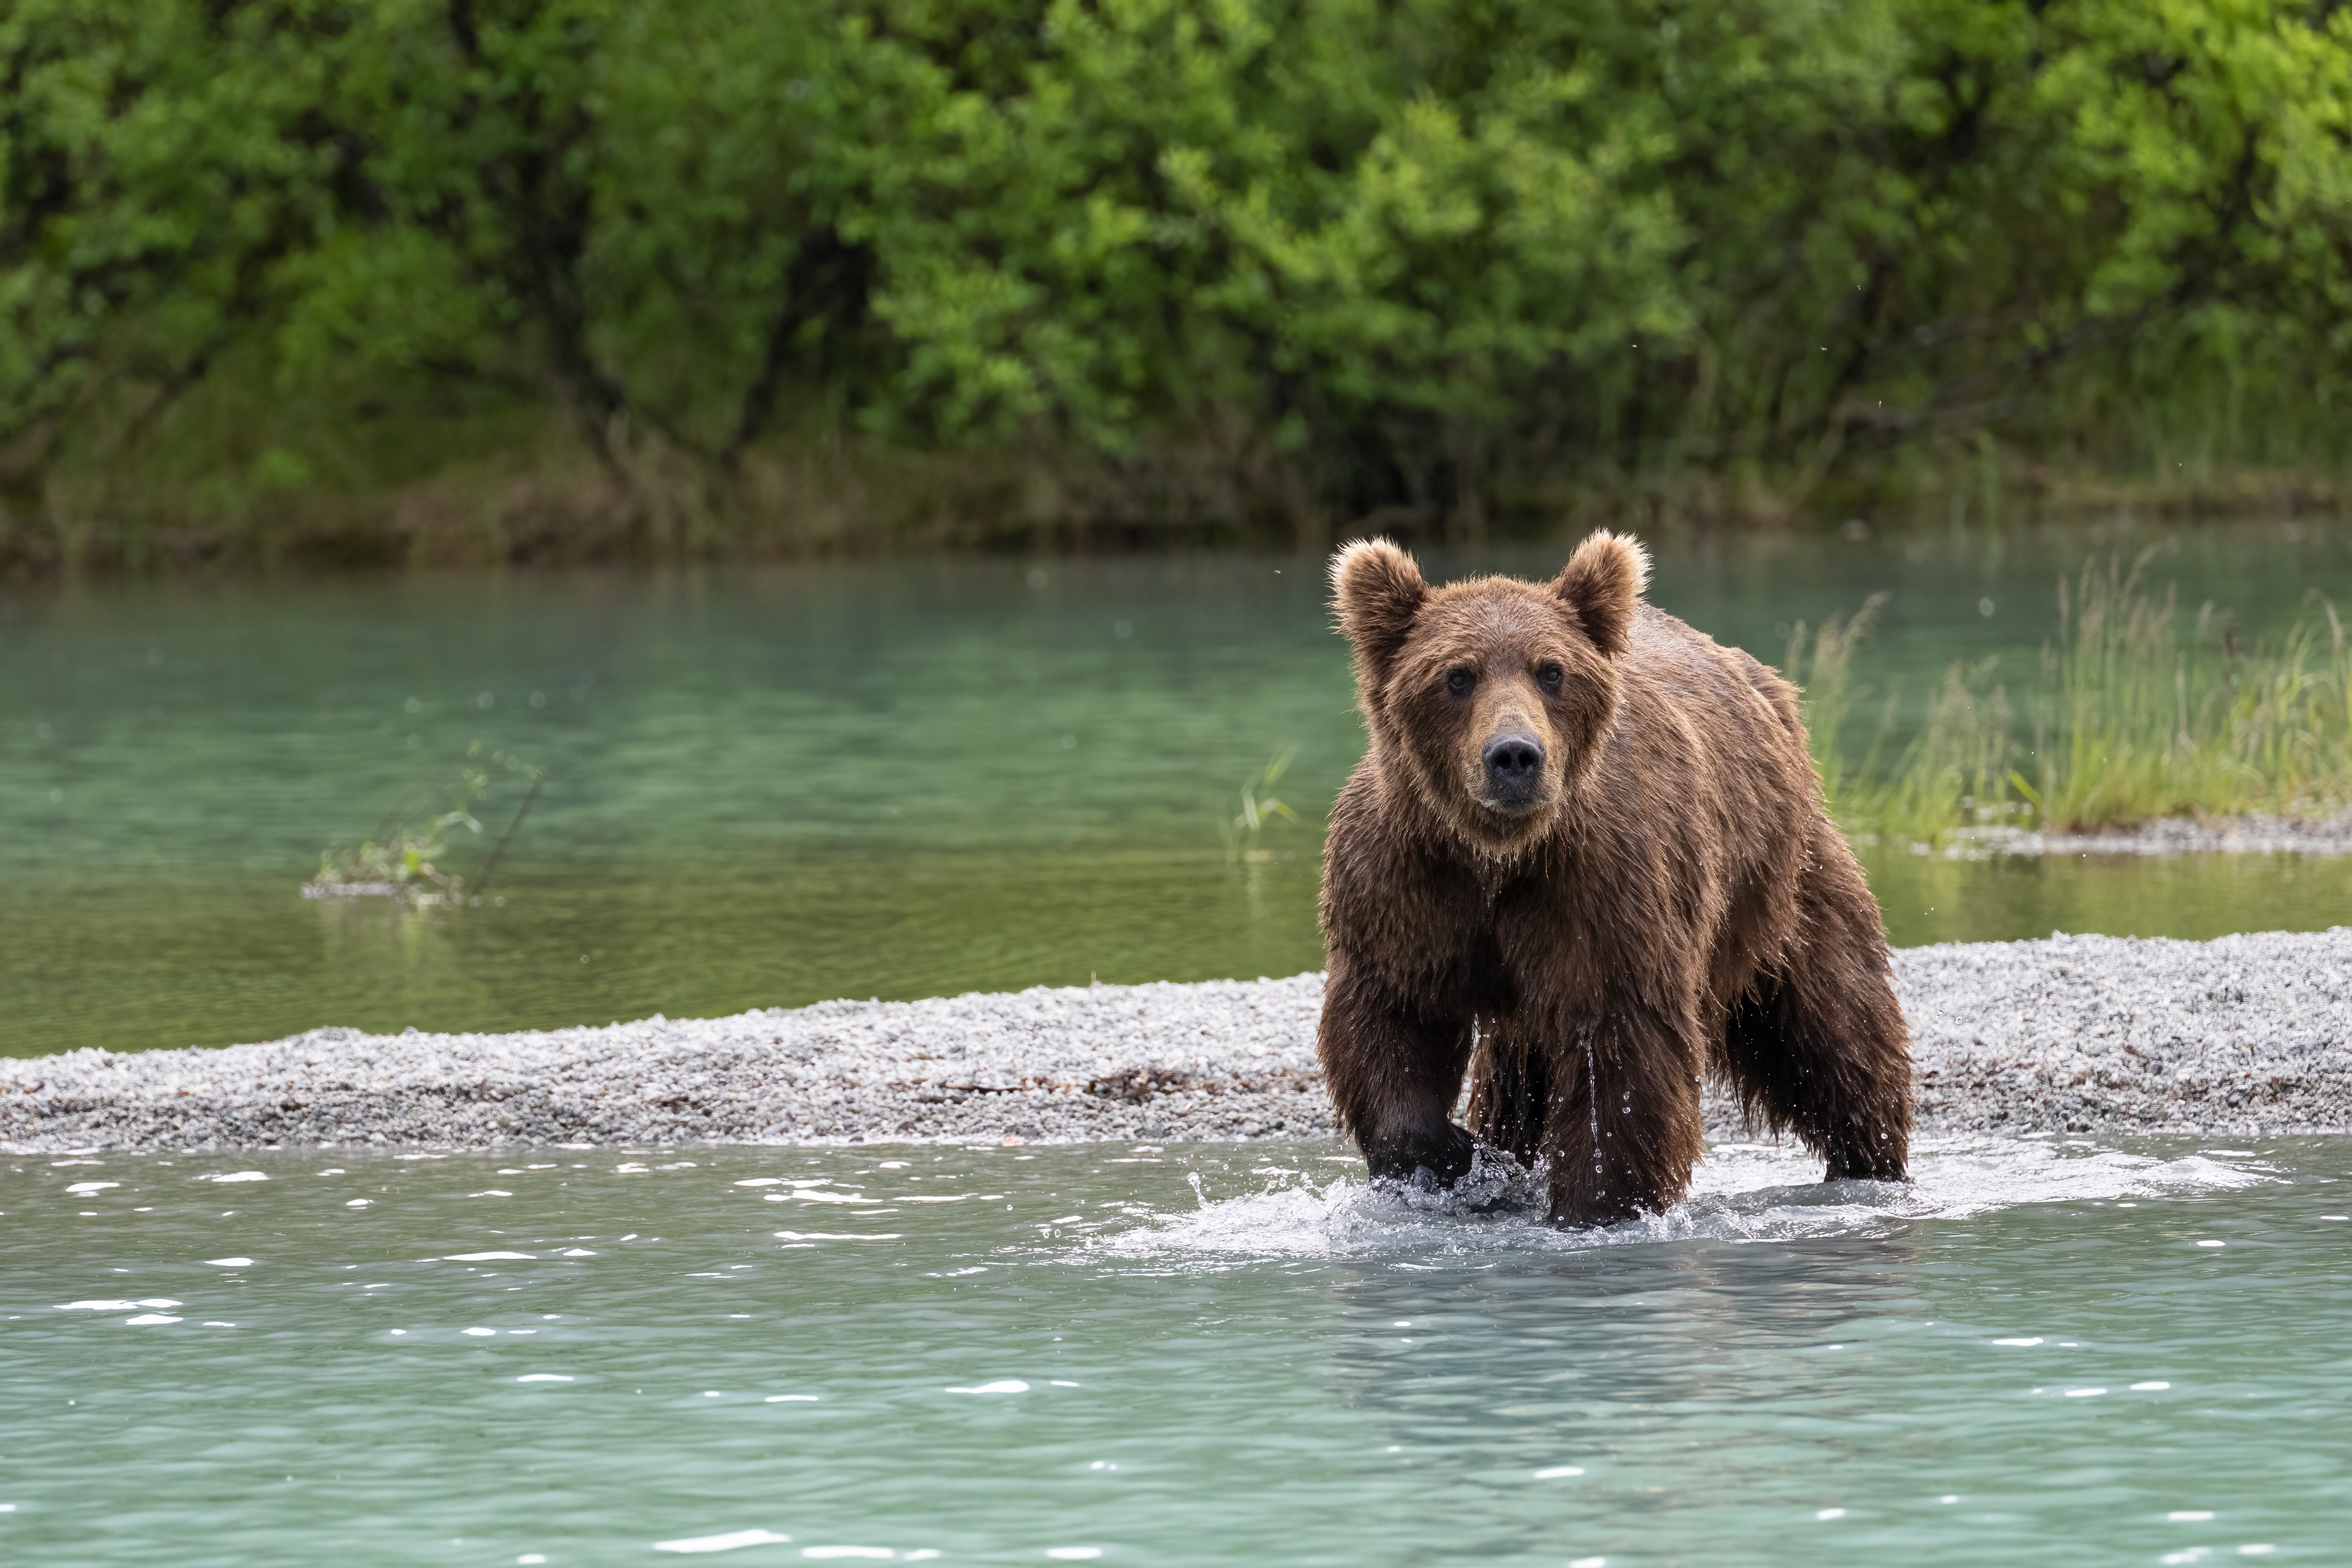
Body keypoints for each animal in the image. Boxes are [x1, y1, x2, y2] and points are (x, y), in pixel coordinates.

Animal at [1316, 530, 1912, 1227]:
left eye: (1551, 670)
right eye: (1457, 676)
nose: (1514, 756)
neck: (1500, 855)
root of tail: (1767, 684)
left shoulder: (1605, 890)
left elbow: (1621, 1049)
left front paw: (1594, 1205)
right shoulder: (1405, 886)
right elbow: (1390, 1023)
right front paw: (1464, 1161)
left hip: (1783, 887)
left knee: (1833, 1026)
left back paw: (1870, 1157)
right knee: (1518, 1078)